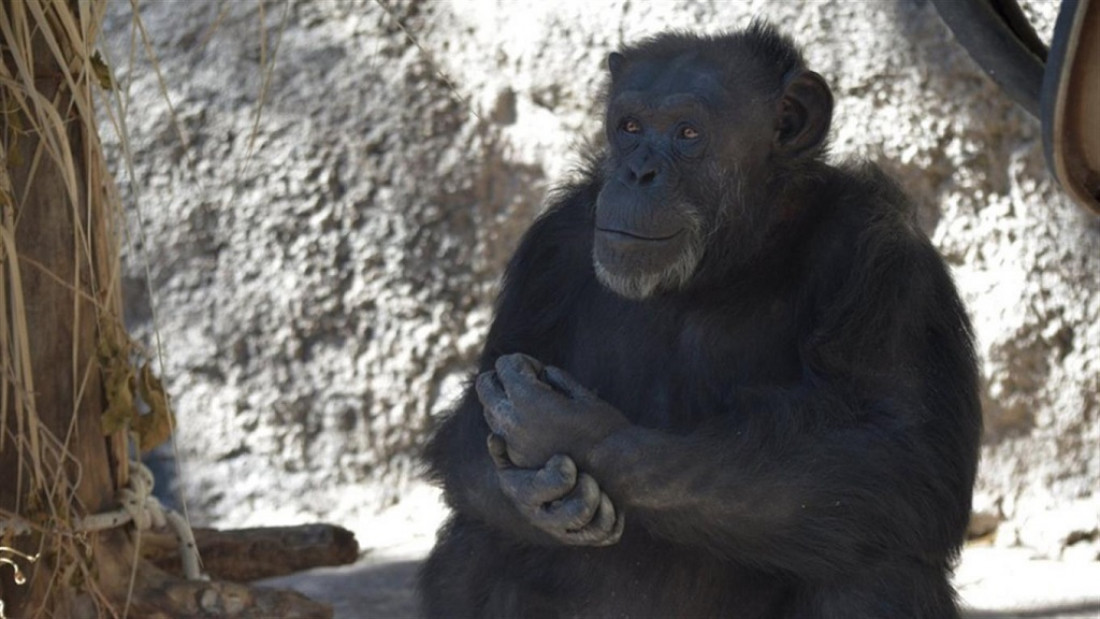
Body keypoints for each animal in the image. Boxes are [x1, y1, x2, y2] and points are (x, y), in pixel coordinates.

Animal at [415, 21, 985, 615]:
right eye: (630, 126)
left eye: (688, 133)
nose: (638, 171)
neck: (725, 263)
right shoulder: (549, 251)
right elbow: (468, 433)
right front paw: (531, 489)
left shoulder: (885, 259)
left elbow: (899, 450)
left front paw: (569, 430)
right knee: (476, 540)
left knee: (873, 564)